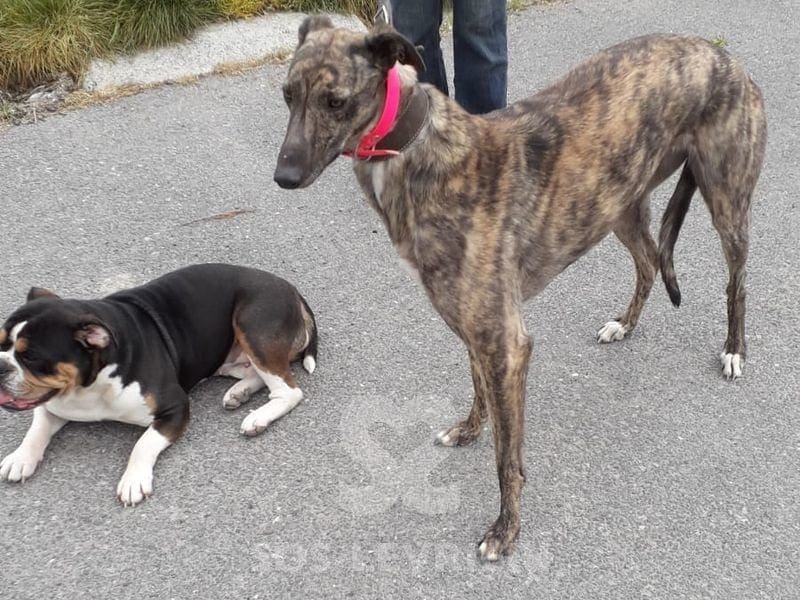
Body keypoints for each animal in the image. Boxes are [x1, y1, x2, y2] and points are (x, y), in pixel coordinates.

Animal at [0, 264, 318, 506]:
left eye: (31, 356)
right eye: (1, 343)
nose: (1, 366)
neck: (89, 385)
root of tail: (292, 291)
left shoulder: (174, 408)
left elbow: (143, 444)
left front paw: (133, 479)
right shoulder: (54, 404)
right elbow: (37, 427)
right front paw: (20, 457)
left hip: (252, 325)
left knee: (288, 390)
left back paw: (258, 418)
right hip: (228, 359)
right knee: (260, 375)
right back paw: (239, 393)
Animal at [273, 17, 766, 560]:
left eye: (335, 101)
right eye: (287, 95)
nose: (284, 176)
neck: (421, 152)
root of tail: (723, 57)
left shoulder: (505, 343)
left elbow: (506, 457)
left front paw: (505, 530)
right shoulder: (473, 328)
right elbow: (478, 388)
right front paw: (469, 429)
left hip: (725, 199)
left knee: (737, 281)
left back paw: (734, 349)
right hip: (619, 204)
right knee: (650, 263)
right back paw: (625, 324)